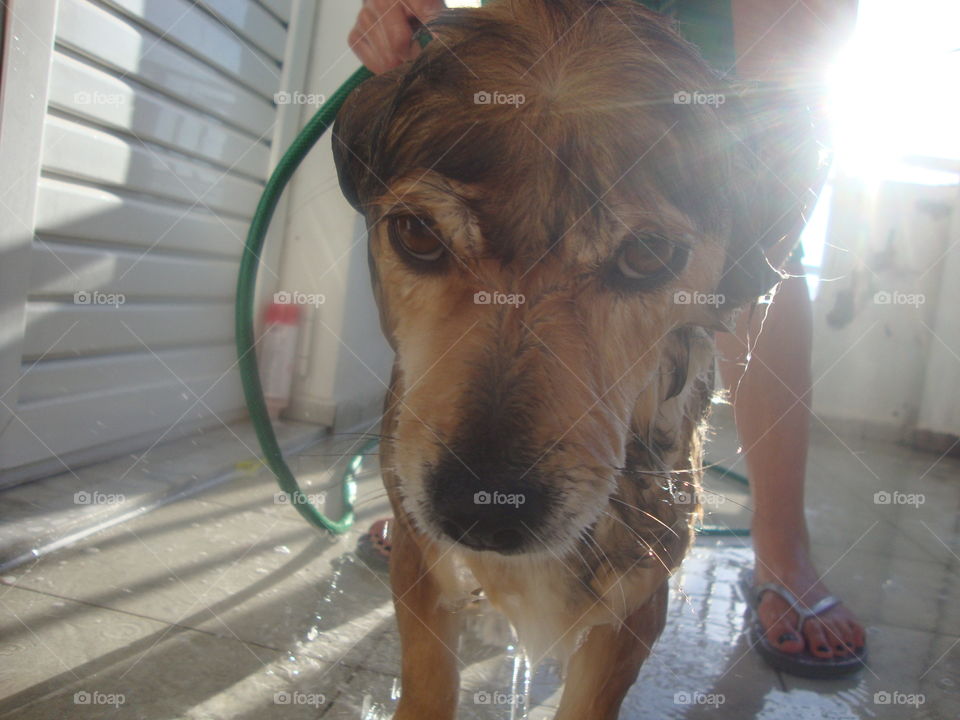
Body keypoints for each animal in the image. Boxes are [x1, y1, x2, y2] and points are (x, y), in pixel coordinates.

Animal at [330, 2, 816, 716]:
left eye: (647, 255)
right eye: (416, 234)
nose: (483, 511)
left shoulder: (638, 595)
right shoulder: (422, 564)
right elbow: (427, 683)